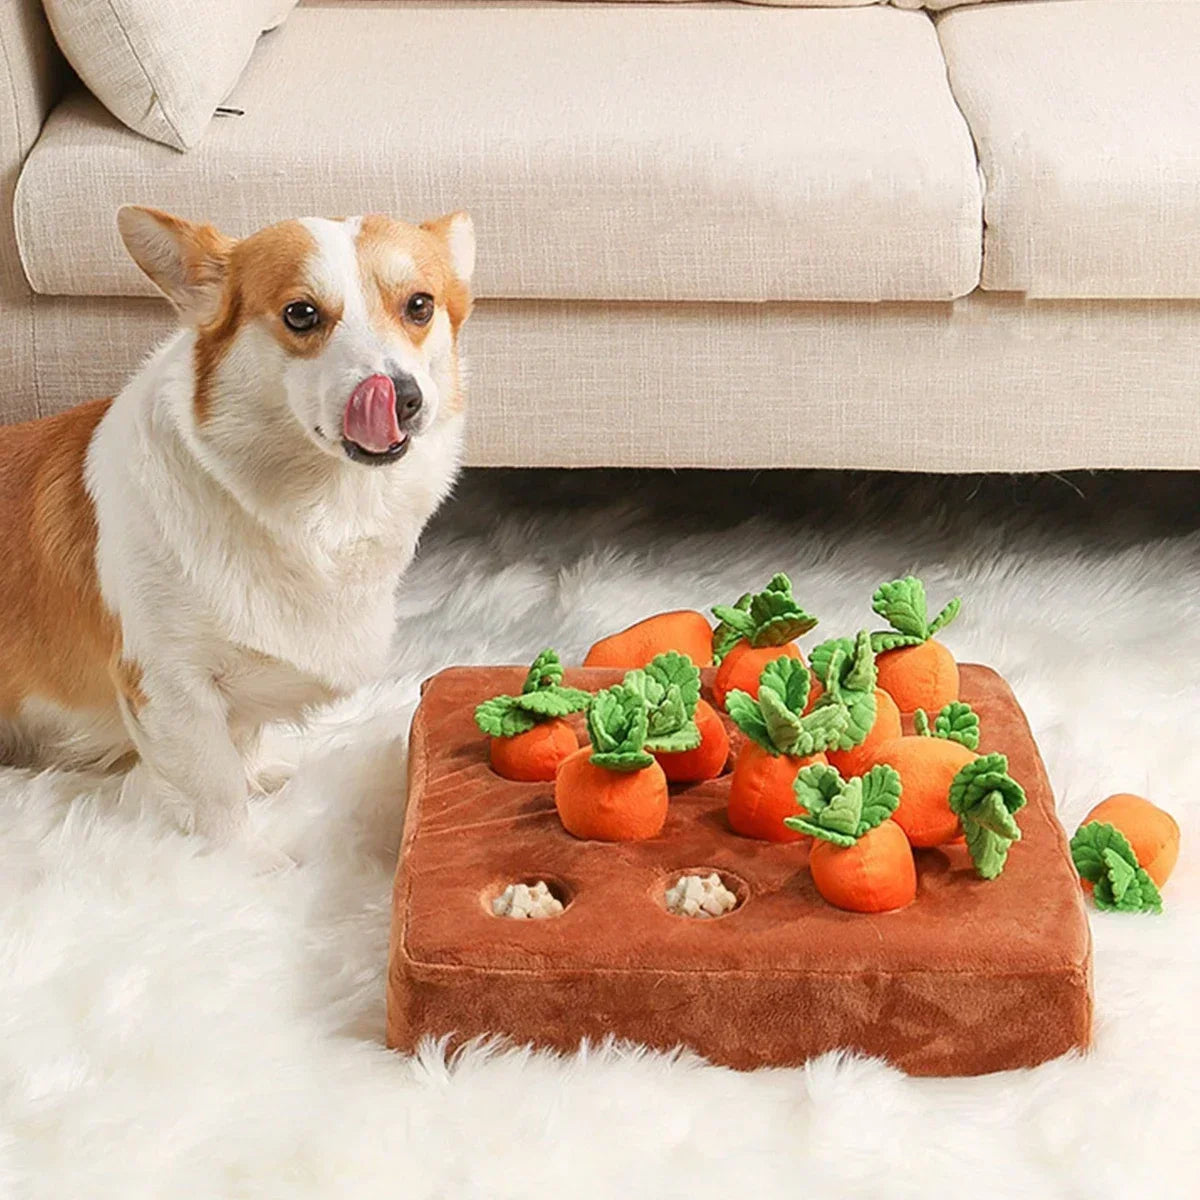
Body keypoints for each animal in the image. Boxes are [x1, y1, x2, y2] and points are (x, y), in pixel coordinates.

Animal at [0, 208, 475, 854]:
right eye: (301, 313)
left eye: (419, 306)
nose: (401, 398)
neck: (323, 508)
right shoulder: (169, 685)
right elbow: (215, 791)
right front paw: (241, 859)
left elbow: (242, 744)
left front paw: (261, 777)